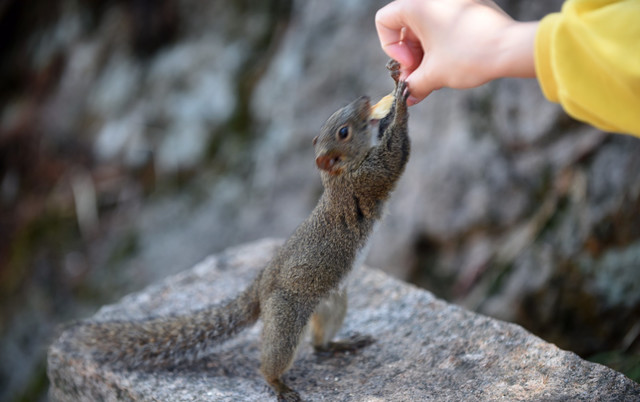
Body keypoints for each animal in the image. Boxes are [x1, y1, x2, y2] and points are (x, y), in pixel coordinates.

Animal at [60, 60, 410, 402]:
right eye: (343, 131)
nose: (364, 99)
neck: (339, 175)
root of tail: (261, 284)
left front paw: (396, 75)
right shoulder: (368, 178)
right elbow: (395, 154)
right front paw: (401, 99)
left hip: (332, 302)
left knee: (319, 342)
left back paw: (339, 344)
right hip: (285, 318)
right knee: (274, 357)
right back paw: (277, 384)